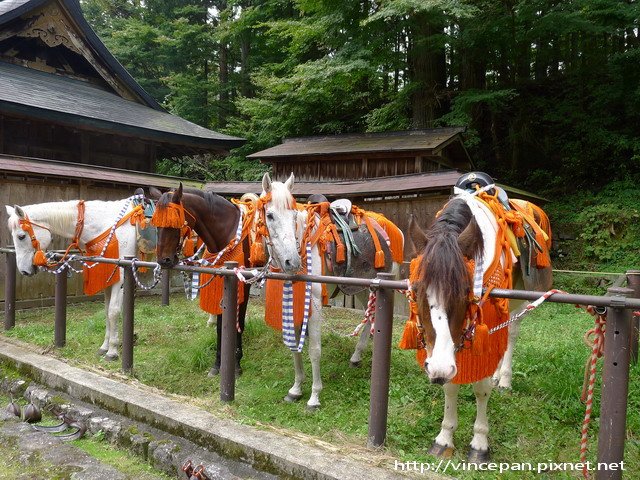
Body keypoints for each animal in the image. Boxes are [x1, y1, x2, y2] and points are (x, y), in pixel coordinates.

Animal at [5, 196, 141, 360]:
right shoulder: (108, 276)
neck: (107, 224)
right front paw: (105, 346)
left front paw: (113, 351)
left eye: (21, 236)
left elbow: (113, 312)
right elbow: (106, 311)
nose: (24, 270)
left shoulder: (120, 277)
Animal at [149, 184, 251, 376]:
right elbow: (221, 325)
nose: (163, 261)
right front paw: (218, 363)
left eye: (175, 224)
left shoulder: (243, 284)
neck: (229, 233)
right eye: (156, 224)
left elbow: (238, 322)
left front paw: (236, 363)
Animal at [258, 173, 400, 408]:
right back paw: (356, 356)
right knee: (368, 316)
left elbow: (314, 350)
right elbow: (294, 347)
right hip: (361, 287)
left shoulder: (314, 303)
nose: (292, 261)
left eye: (293, 214)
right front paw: (296, 389)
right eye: (269, 215)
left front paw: (314, 397)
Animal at [410, 187, 556, 462]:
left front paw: (479, 443)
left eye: (466, 294)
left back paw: (504, 379)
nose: (437, 368)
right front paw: (444, 438)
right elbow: (451, 386)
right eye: (417, 291)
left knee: (511, 335)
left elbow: (481, 388)